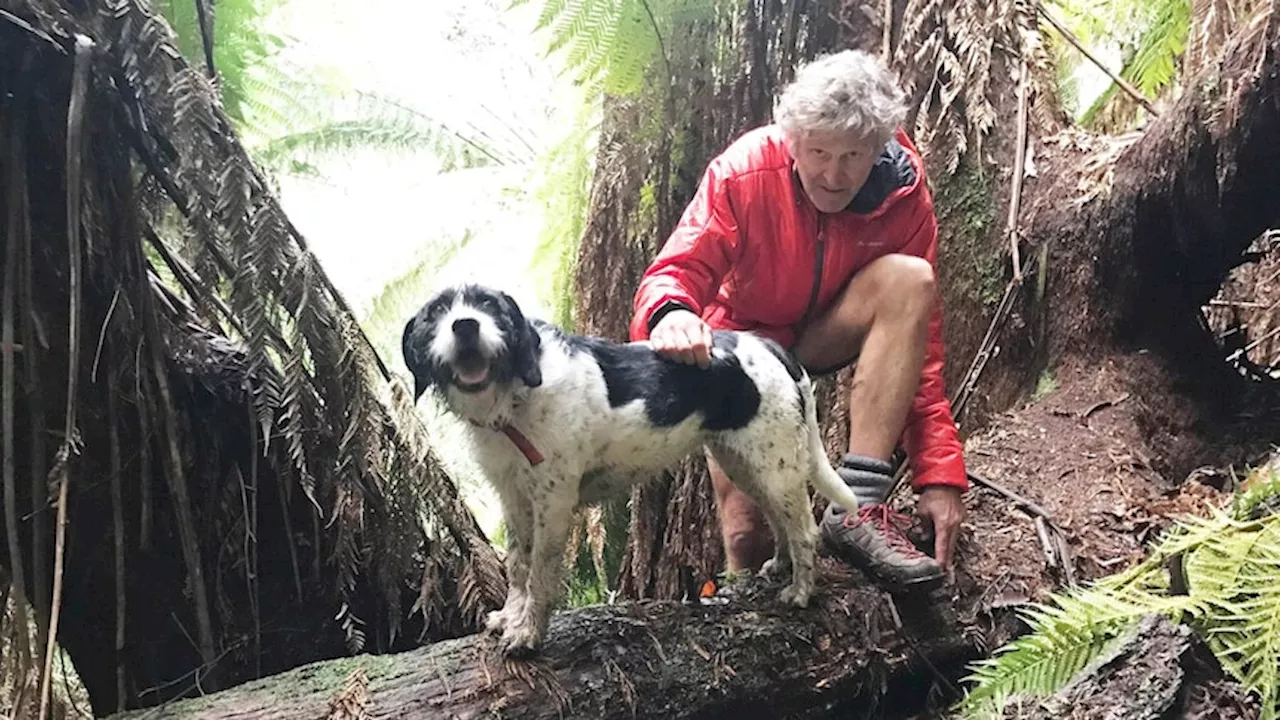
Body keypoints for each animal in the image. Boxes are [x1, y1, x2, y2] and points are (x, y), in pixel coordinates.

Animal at [399, 283, 860, 653]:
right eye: (436, 312)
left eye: (489, 305)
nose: (465, 326)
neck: (514, 398)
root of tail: (767, 347)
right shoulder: (513, 500)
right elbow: (517, 566)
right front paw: (511, 617)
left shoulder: (553, 502)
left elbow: (540, 574)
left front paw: (527, 634)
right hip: (747, 463)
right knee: (779, 518)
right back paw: (780, 566)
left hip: (773, 463)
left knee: (805, 530)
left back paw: (801, 591)